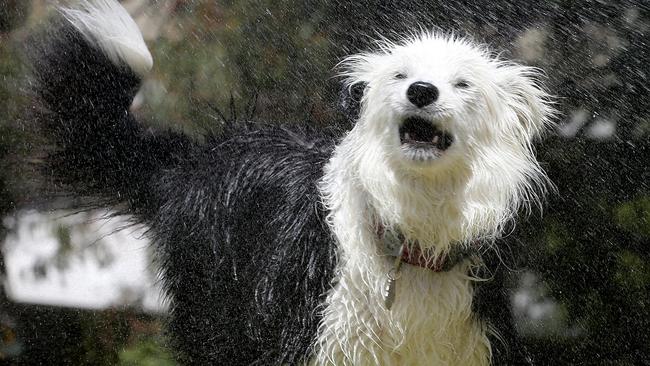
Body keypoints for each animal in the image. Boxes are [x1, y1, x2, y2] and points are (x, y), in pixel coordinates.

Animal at [26, 1, 552, 364]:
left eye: (463, 83)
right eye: (400, 75)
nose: (421, 91)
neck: (410, 239)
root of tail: (195, 158)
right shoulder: (311, 336)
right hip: (216, 315)